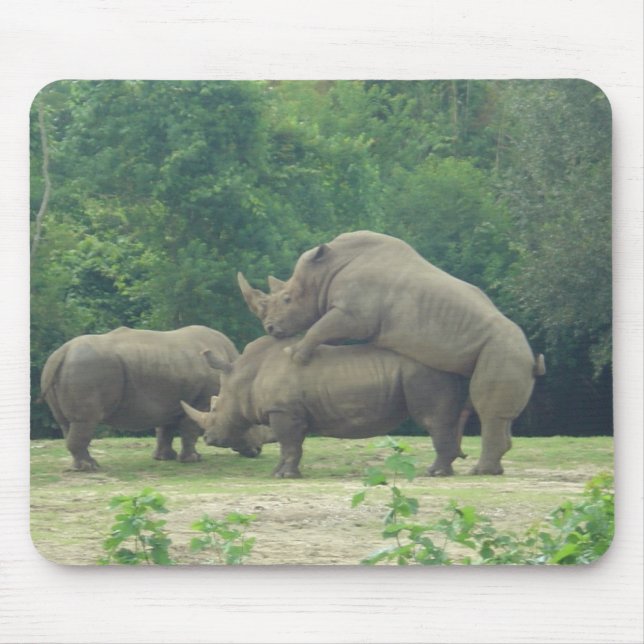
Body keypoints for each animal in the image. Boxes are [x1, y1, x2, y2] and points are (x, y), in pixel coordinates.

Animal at [39, 325, 274, 471]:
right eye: (251, 425)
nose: (257, 451)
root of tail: (62, 353)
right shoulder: (199, 401)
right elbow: (189, 430)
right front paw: (193, 460)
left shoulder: (168, 401)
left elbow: (165, 430)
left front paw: (164, 458)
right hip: (87, 368)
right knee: (85, 421)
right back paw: (91, 468)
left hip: (61, 367)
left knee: (67, 423)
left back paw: (80, 467)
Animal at [180, 335, 470, 478]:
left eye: (215, 410)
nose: (208, 439)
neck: (245, 374)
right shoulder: (292, 412)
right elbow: (291, 447)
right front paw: (278, 473)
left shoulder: (284, 411)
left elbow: (289, 445)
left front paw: (284, 477)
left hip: (425, 372)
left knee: (433, 421)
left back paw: (434, 473)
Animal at [238, 230, 546, 475]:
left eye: (287, 299)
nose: (270, 328)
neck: (327, 269)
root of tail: (532, 358)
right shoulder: (352, 312)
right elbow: (323, 328)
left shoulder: (353, 314)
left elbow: (321, 327)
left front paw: (296, 356)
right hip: (503, 350)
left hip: (504, 349)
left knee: (487, 408)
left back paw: (479, 472)